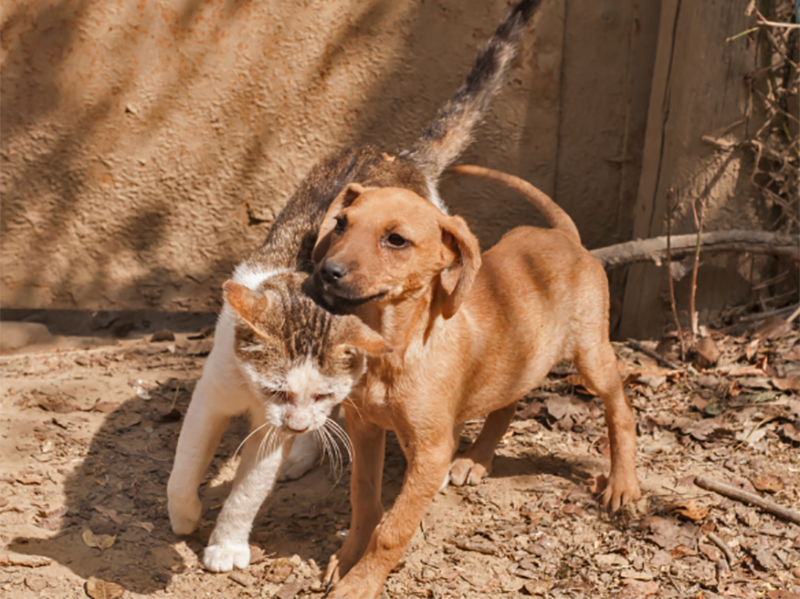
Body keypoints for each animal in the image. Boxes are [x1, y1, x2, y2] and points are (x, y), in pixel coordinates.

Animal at [312, 165, 644, 599]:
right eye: (340, 224)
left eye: (396, 240)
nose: (327, 273)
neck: (392, 347)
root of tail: (565, 237)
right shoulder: (364, 427)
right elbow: (364, 499)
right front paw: (348, 557)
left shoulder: (430, 450)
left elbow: (392, 531)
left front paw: (359, 585)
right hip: (517, 356)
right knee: (507, 402)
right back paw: (477, 459)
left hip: (592, 356)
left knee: (622, 409)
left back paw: (623, 484)